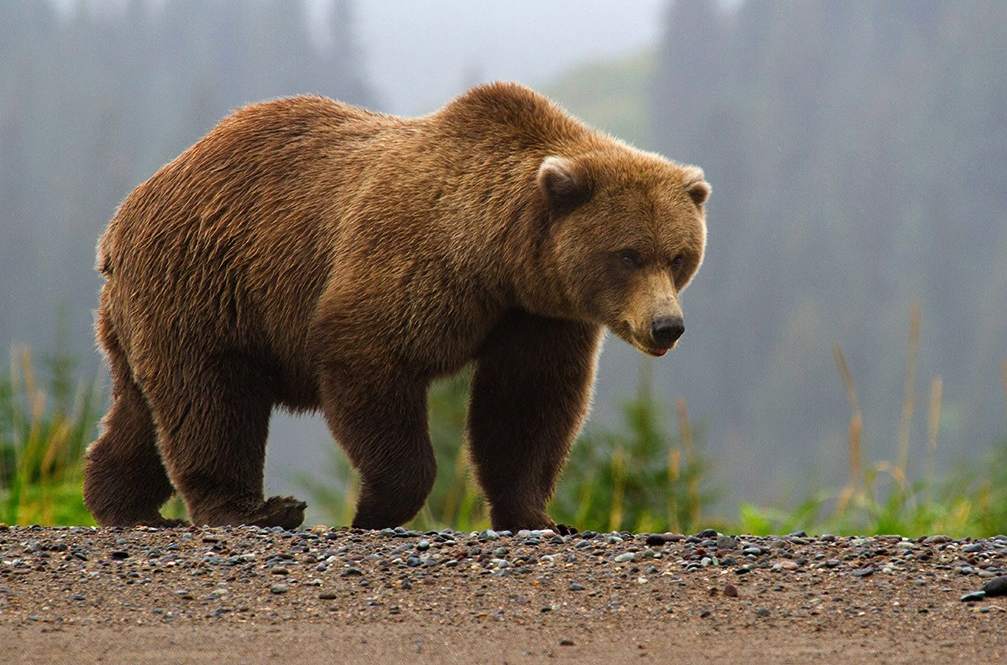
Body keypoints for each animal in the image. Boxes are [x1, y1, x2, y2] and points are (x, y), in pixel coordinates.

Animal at [84, 81, 708, 527]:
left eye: (678, 256)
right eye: (627, 255)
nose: (667, 326)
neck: (499, 257)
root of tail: (123, 216)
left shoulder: (537, 315)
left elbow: (527, 404)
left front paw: (537, 516)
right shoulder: (414, 260)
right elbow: (370, 357)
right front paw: (374, 508)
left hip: (150, 309)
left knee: (142, 409)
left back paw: (123, 504)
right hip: (207, 283)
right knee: (211, 399)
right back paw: (254, 511)